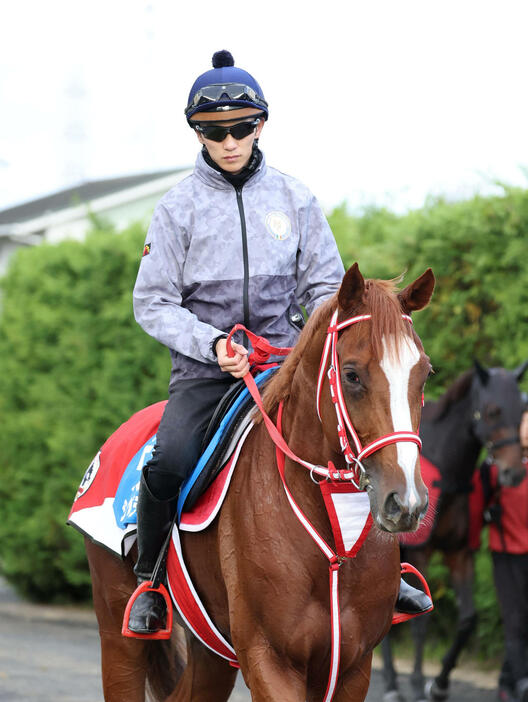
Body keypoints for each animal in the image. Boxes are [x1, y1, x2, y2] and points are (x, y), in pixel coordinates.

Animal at [84, 266, 436, 702]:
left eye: (425, 373)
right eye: (352, 374)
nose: (406, 503)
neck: (333, 534)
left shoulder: (353, 666)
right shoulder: (270, 660)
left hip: (212, 652)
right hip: (119, 637)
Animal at [380, 360, 528, 700]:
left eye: (521, 410)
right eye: (492, 411)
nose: (514, 473)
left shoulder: (459, 554)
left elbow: (468, 621)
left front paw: (440, 683)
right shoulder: (420, 552)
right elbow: (420, 625)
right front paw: (418, 683)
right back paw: (392, 683)